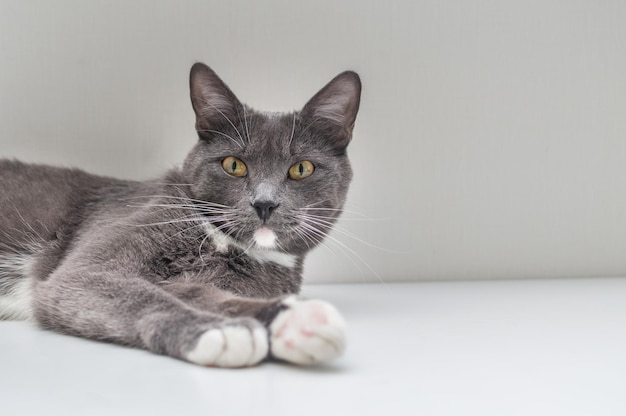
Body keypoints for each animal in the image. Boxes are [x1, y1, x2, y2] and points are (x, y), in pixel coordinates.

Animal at [0, 61, 360, 368]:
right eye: (234, 165)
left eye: (302, 168)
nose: (264, 202)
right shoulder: (83, 270)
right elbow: (136, 295)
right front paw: (220, 331)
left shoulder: (205, 283)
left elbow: (203, 294)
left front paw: (297, 320)